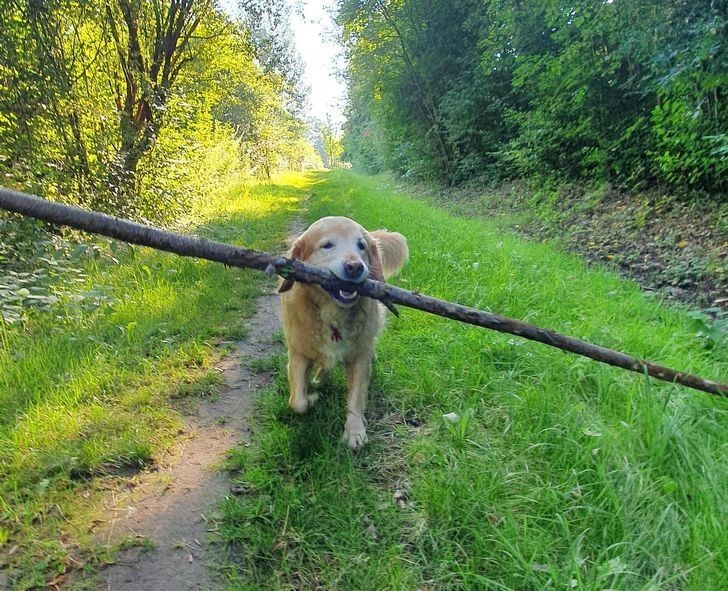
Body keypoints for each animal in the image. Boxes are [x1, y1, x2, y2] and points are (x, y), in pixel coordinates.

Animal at [278, 215, 406, 450]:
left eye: (361, 246)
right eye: (327, 245)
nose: (355, 266)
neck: (332, 312)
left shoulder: (359, 357)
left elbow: (355, 397)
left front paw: (355, 431)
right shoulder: (298, 352)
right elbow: (297, 402)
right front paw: (312, 398)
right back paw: (320, 379)